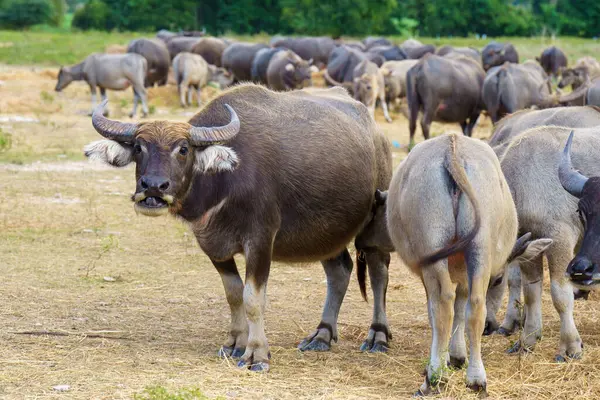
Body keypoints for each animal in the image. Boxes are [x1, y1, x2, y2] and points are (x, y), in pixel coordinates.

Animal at [84, 83, 394, 372]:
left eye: (183, 149)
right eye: (138, 148)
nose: (153, 188)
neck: (225, 181)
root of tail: (377, 134)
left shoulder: (260, 240)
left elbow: (253, 299)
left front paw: (257, 354)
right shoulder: (212, 244)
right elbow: (233, 294)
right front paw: (235, 343)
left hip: (375, 224)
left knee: (378, 273)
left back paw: (377, 336)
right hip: (325, 233)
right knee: (339, 270)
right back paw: (322, 335)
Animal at [360, 134, 548, 394]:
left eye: (374, 212)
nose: (360, 241)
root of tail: (452, 149)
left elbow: (439, 311)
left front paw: (446, 358)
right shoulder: (465, 273)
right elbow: (462, 308)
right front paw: (458, 356)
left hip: (433, 247)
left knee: (442, 305)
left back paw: (434, 378)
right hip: (480, 247)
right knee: (475, 307)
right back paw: (476, 378)